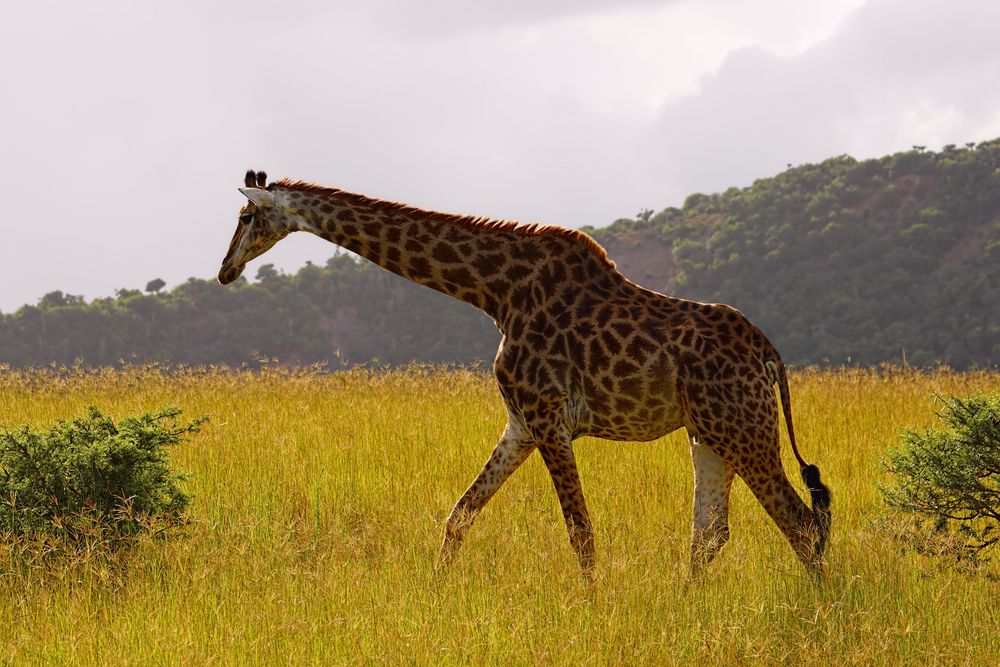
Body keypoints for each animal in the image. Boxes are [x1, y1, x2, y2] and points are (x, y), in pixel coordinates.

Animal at [221, 171, 836, 580]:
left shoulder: (548, 416)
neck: (495, 293)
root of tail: (770, 355)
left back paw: (819, 613)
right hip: (707, 433)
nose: (225, 270)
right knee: (711, 534)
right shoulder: (520, 422)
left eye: (246, 217)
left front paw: (593, 612)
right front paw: (434, 592)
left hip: (743, 427)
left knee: (801, 523)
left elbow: (580, 532)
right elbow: (459, 515)